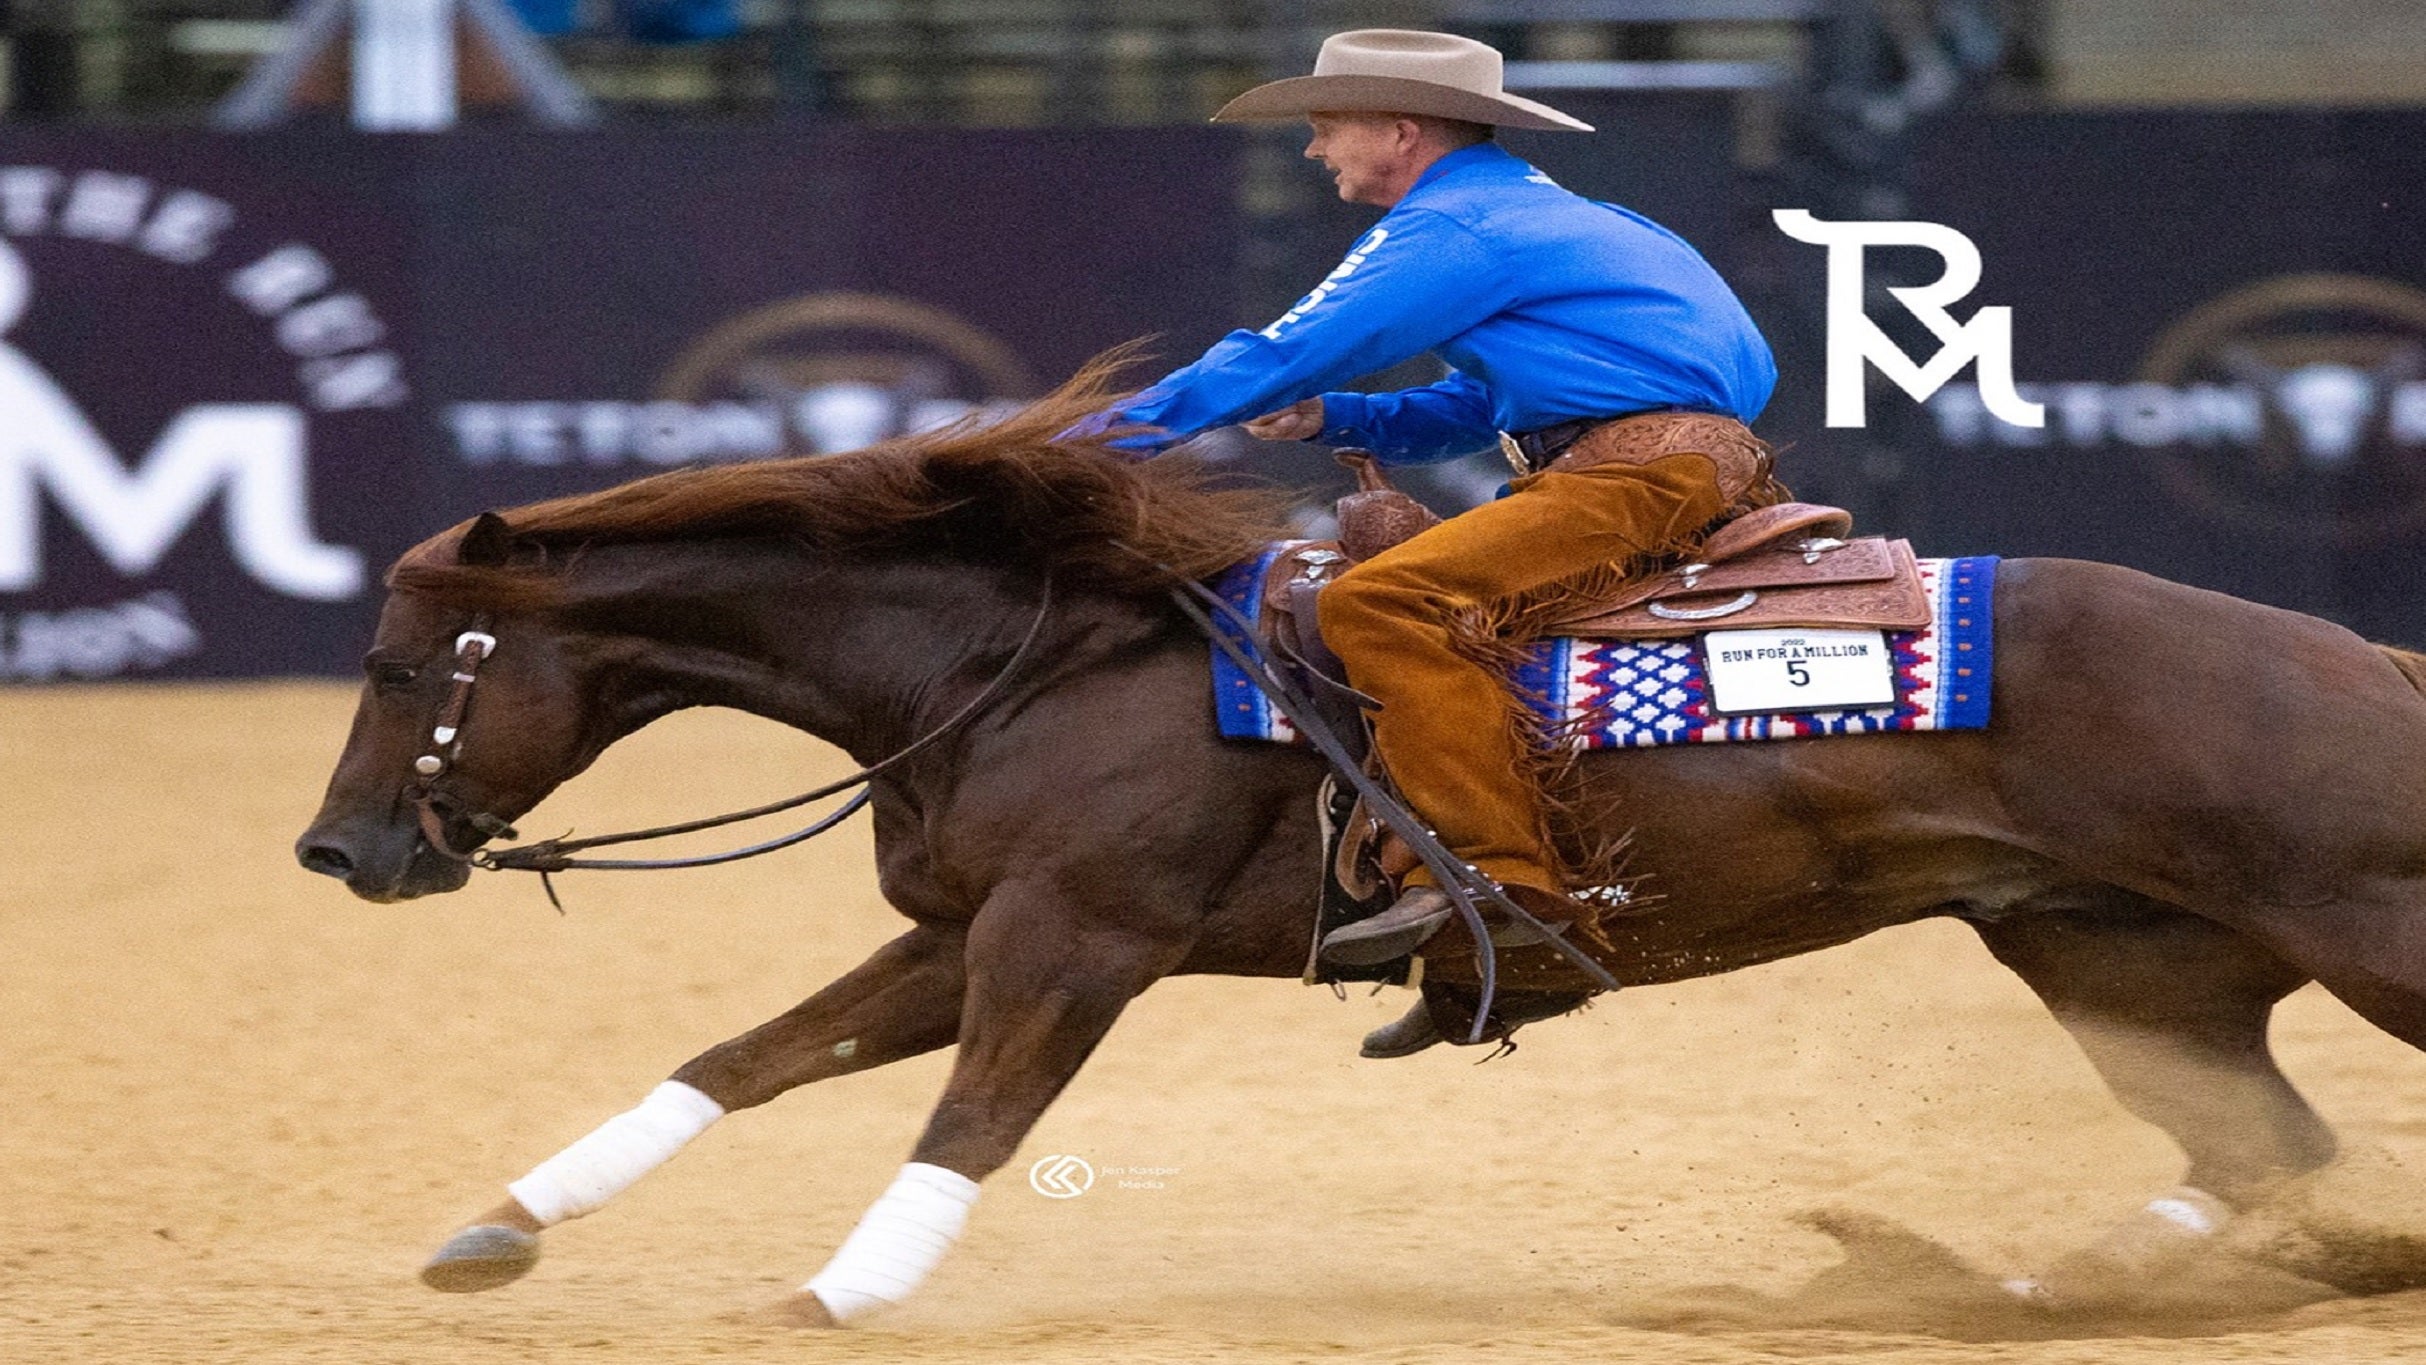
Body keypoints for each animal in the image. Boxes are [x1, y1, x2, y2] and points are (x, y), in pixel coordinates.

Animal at [298, 370, 2426, 1328]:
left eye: (408, 664)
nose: (337, 854)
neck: (1026, 654)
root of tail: (2357, 654)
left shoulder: (1075, 937)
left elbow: (973, 1118)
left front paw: (843, 1292)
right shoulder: (966, 926)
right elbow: (740, 1060)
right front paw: (501, 1226)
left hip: (2355, 931)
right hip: (2112, 951)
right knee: (2260, 1144)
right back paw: (2030, 1293)